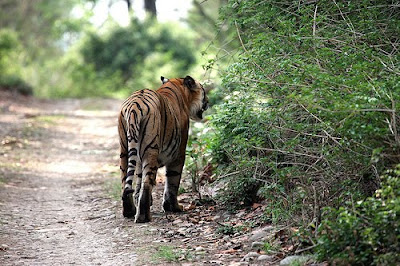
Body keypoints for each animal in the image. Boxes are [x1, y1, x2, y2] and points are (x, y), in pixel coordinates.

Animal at [117, 75, 209, 222]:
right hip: (150, 149)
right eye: (204, 91)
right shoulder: (179, 153)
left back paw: (129, 211)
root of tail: (134, 107)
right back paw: (143, 216)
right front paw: (173, 207)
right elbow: (172, 181)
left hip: (124, 150)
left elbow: (138, 180)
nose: (208, 102)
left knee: (125, 181)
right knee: (147, 182)